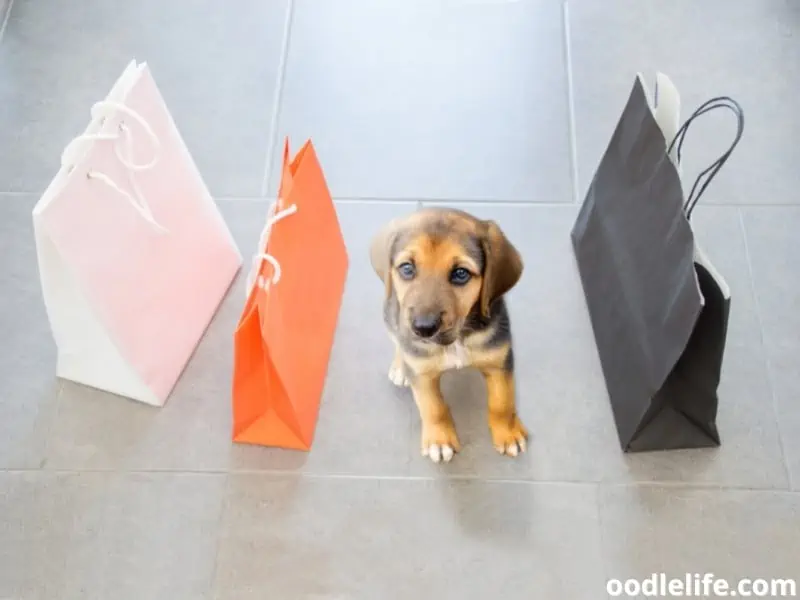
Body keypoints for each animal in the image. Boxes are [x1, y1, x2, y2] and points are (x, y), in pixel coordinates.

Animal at [370, 206, 532, 464]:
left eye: (460, 274)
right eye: (407, 268)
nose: (423, 328)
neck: (457, 340)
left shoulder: (499, 361)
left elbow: (502, 402)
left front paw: (508, 433)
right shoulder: (422, 374)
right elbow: (433, 407)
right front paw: (439, 441)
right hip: (390, 315)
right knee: (397, 341)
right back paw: (400, 367)